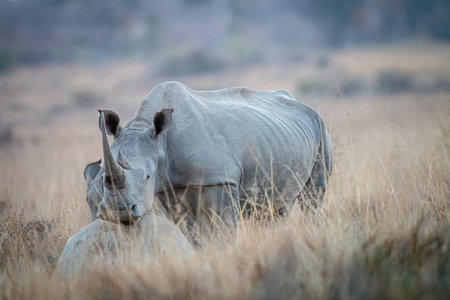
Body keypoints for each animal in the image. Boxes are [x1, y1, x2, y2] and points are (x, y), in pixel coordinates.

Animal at [97, 81, 330, 232]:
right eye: (102, 176)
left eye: (147, 176)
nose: (116, 211)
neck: (157, 139)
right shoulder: (163, 188)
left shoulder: (220, 179)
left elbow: (223, 227)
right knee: (277, 205)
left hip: (320, 127)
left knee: (313, 196)